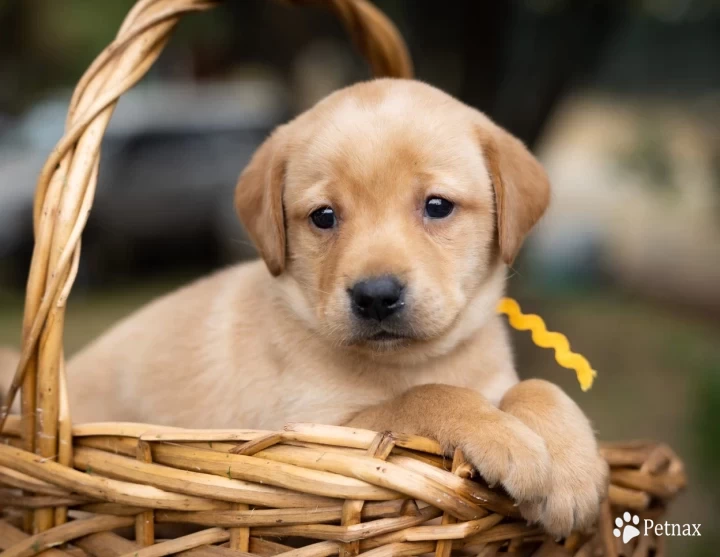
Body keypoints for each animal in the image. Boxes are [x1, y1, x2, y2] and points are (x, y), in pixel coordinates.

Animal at [19, 78, 608, 536]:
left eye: (437, 206)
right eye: (323, 216)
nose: (375, 295)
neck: (410, 361)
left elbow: (537, 386)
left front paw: (574, 471)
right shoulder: (319, 429)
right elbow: (427, 397)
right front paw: (508, 440)